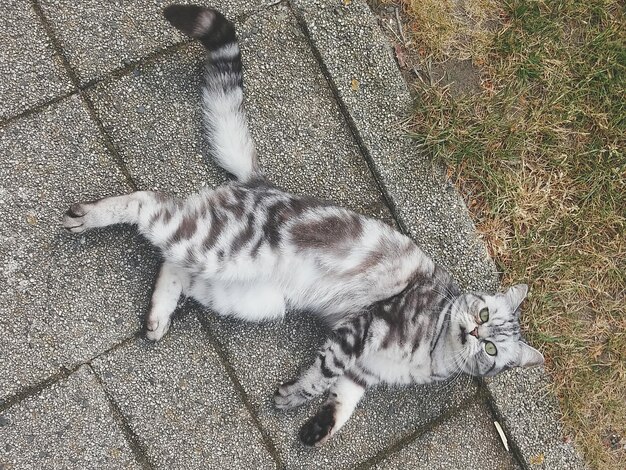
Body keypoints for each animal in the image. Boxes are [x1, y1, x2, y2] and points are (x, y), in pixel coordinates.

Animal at [61, 5, 544, 448]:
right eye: (483, 316)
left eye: (492, 347)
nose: (475, 331)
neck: (436, 351)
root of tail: (260, 183)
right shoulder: (358, 331)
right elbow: (323, 375)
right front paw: (295, 396)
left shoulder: (363, 370)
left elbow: (344, 402)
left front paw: (317, 427)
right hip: (218, 249)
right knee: (149, 205)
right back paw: (87, 217)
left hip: (248, 295)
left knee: (172, 264)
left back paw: (158, 315)